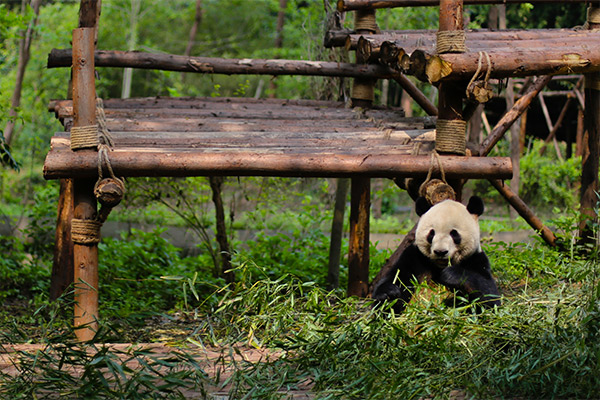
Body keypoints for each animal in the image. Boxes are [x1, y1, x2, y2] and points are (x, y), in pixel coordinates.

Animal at [372, 196, 500, 312]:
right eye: (431, 233)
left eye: (454, 234)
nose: (440, 251)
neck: (439, 267)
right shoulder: (414, 257)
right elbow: (398, 279)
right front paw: (389, 293)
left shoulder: (476, 258)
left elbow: (489, 297)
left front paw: (451, 276)